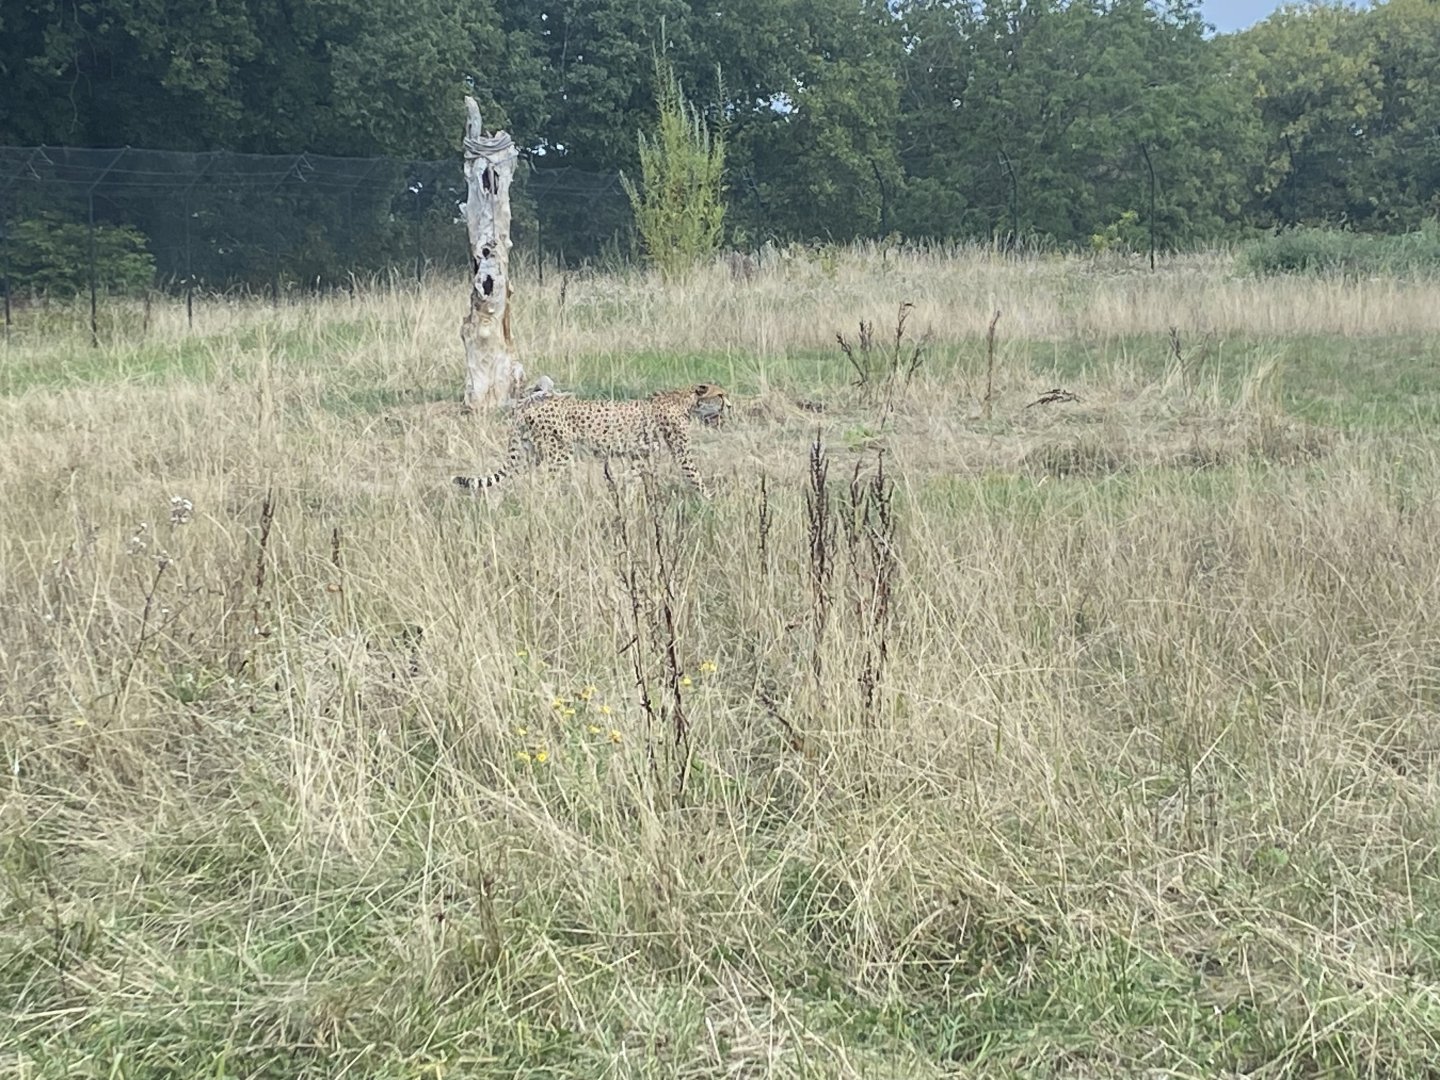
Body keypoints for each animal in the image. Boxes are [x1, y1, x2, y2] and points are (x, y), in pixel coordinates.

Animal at [453, 382, 728, 495]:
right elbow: (695, 475)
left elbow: (637, 477)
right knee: (546, 483)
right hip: (558, 453)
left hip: (530, 452)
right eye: (720, 395)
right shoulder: (680, 453)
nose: (731, 404)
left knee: (525, 479)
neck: (686, 400)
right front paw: (711, 500)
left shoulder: (639, 454)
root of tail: (526, 405)